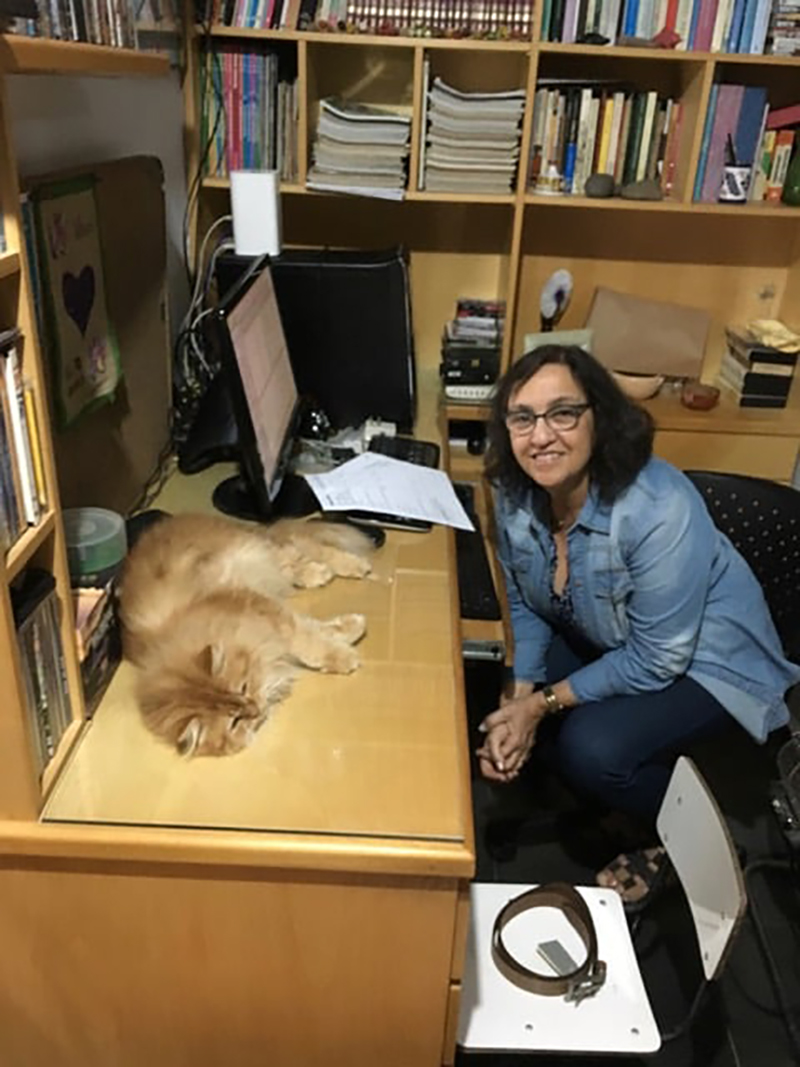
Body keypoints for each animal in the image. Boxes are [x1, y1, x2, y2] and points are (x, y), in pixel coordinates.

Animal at [117, 513, 377, 757]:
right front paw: (348, 636)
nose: (256, 710)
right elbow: (313, 631)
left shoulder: (260, 607)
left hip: (258, 550)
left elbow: (307, 640)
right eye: (235, 722)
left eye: (242, 687)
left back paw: (344, 567)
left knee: (300, 546)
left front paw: (345, 651)